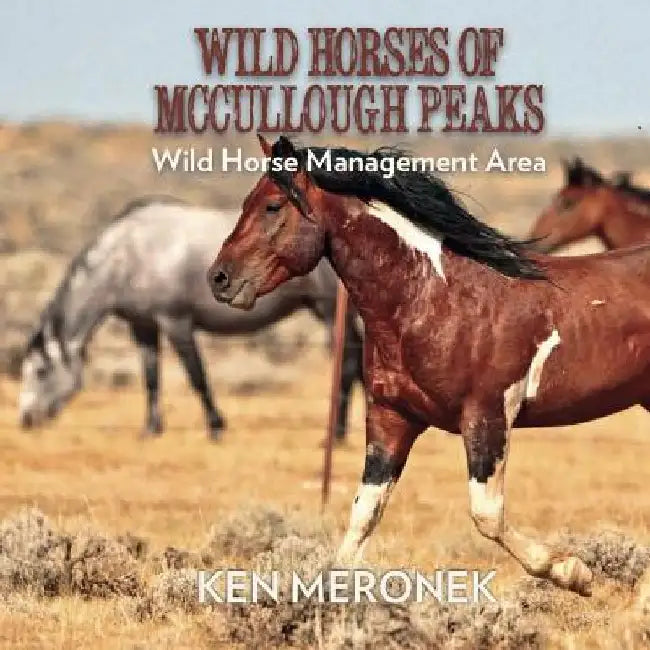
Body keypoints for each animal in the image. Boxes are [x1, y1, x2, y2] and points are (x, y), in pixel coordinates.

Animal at [18, 197, 363, 440]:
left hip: (329, 311)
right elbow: (151, 378)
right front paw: (151, 428)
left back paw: (337, 433)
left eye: (41, 370)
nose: (25, 419)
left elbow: (196, 375)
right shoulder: (142, 327)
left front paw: (216, 426)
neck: (129, 255)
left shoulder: (176, 322)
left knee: (347, 364)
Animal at [208, 135, 650, 596]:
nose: (219, 278)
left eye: (273, 205)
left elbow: (487, 515)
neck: (434, 298)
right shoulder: (391, 418)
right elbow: (363, 515)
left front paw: (574, 572)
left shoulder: (487, 417)